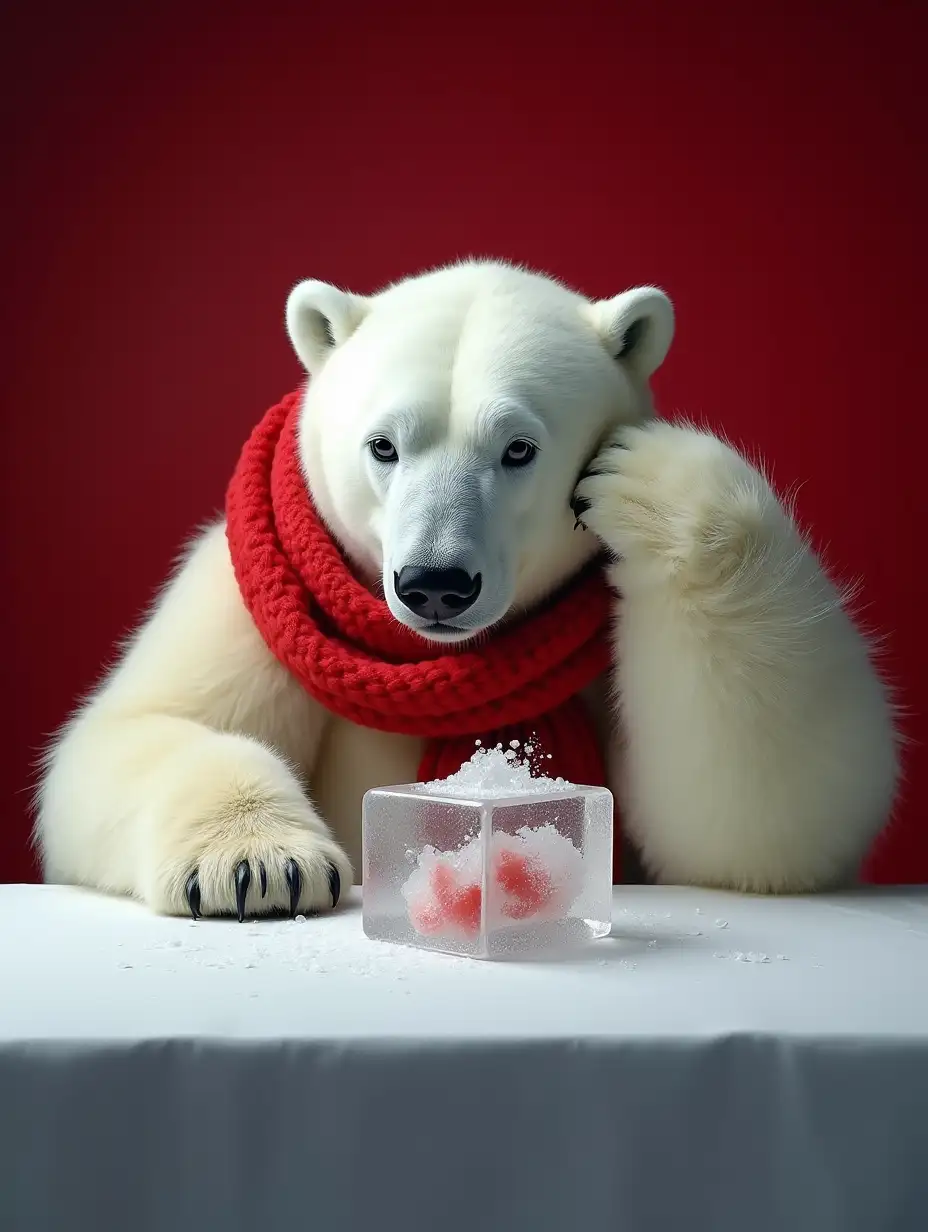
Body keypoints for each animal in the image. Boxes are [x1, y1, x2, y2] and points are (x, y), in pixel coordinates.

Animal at [36, 259, 897, 916]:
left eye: (519, 448)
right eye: (383, 445)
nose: (435, 584)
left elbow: (750, 823)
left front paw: (646, 477)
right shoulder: (246, 595)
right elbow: (142, 726)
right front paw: (259, 866)